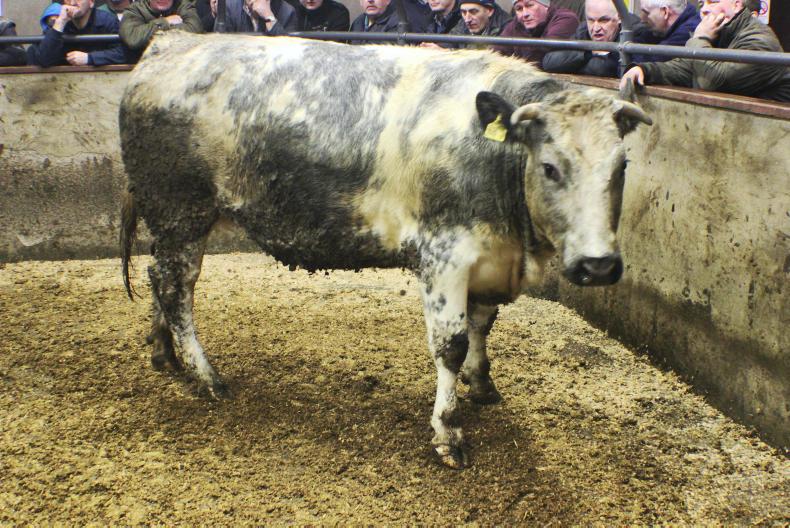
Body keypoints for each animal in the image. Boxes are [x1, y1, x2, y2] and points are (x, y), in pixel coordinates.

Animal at [119, 32, 651, 469]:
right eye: (549, 167)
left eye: (623, 166)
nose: (598, 265)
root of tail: (170, 43)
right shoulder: (444, 256)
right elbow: (451, 346)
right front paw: (447, 433)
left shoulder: (490, 258)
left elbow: (482, 327)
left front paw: (482, 386)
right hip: (180, 208)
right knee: (178, 288)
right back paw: (207, 376)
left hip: (170, 219)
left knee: (157, 277)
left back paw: (164, 353)